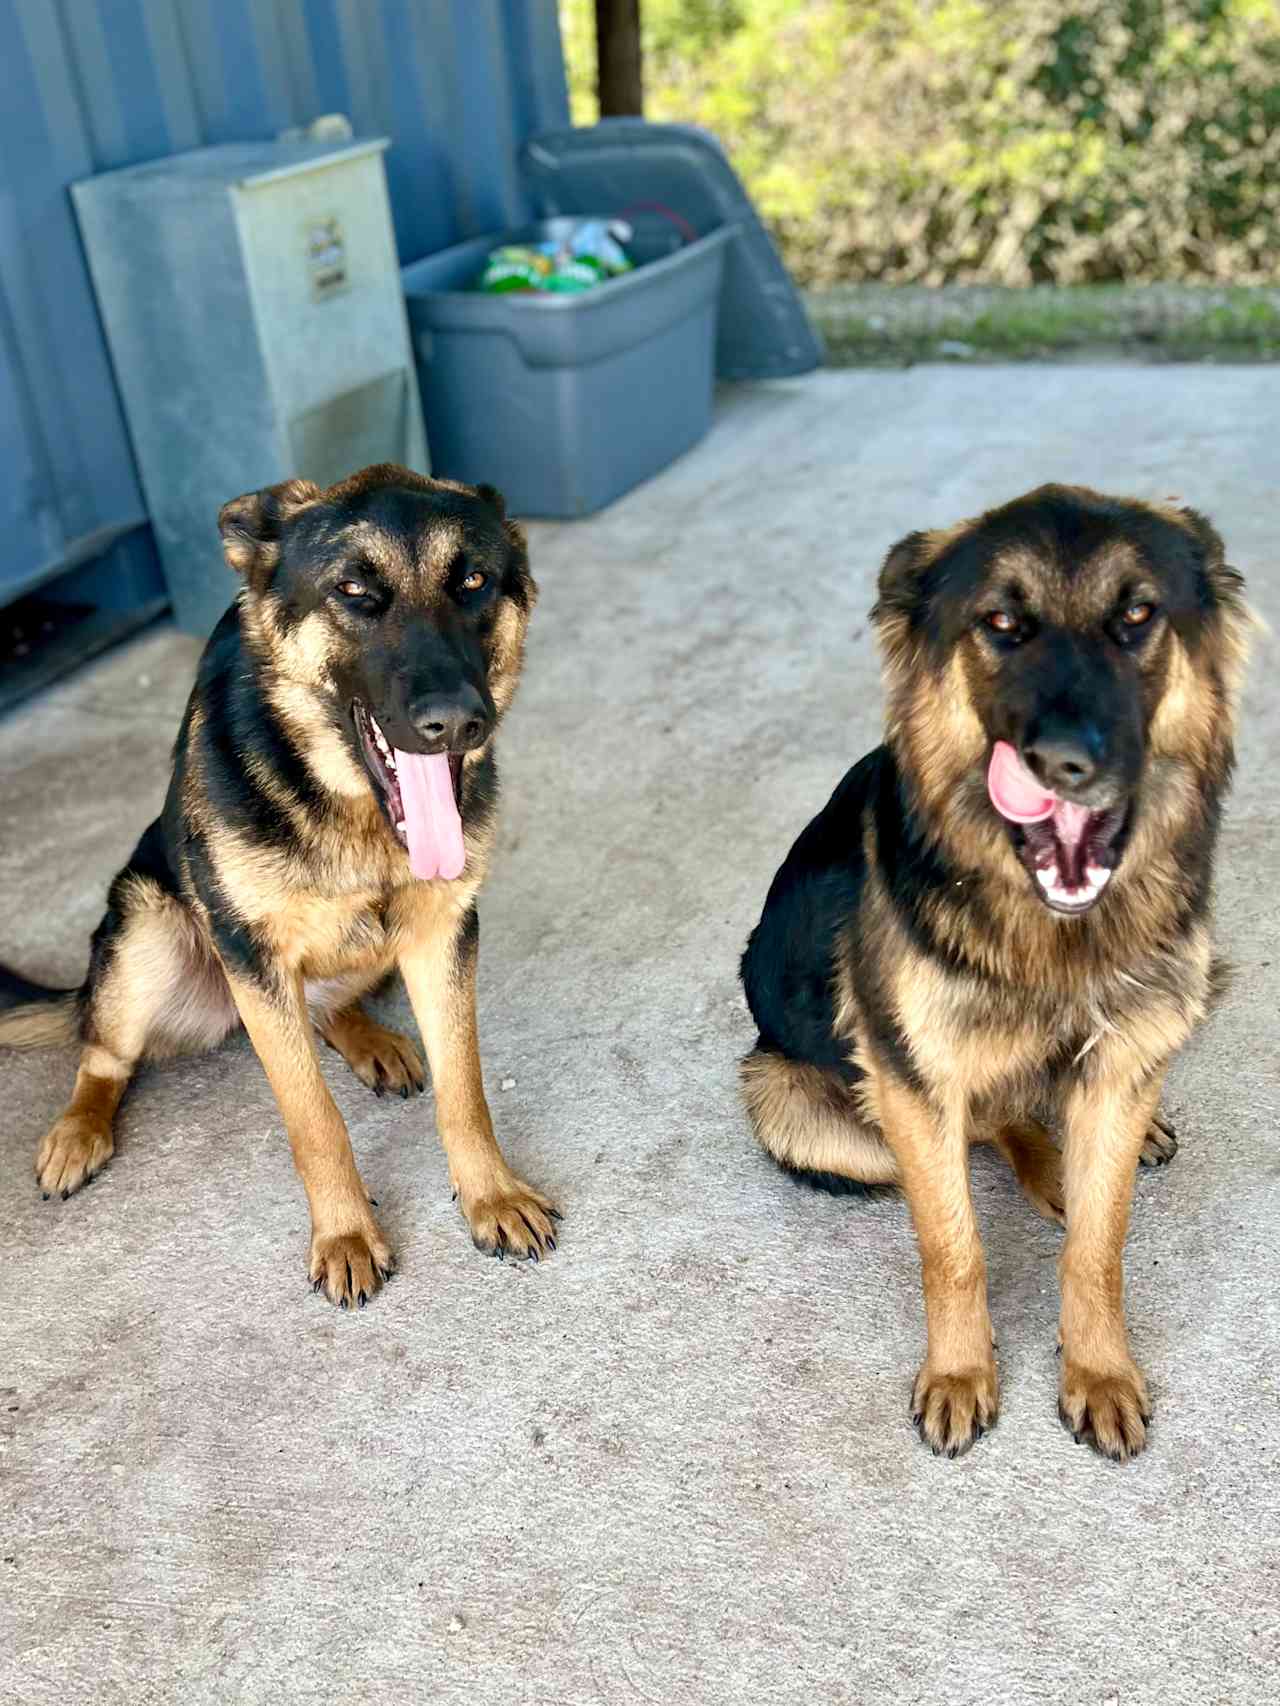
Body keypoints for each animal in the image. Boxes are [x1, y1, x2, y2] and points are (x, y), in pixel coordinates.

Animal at [2, 460, 559, 1296]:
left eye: (473, 581)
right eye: (354, 590)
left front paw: (490, 1193)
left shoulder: (441, 936)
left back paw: (366, 1036)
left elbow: (464, 1089)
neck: (352, 808)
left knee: (329, 1003)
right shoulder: (254, 961)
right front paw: (346, 1233)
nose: (459, 722)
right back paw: (78, 1130)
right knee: (102, 1054)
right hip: (147, 928)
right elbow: (313, 1118)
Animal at [740, 487, 1256, 1460]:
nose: (1067, 765)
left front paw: (1098, 1370)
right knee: (987, 1122)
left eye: (1138, 615)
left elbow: (1099, 1247)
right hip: (790, 1101)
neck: (1056, 936)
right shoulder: (914, 1078)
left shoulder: (1120, 1063)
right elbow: (954, 1247)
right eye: (1002, 624)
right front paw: (959, 1372)